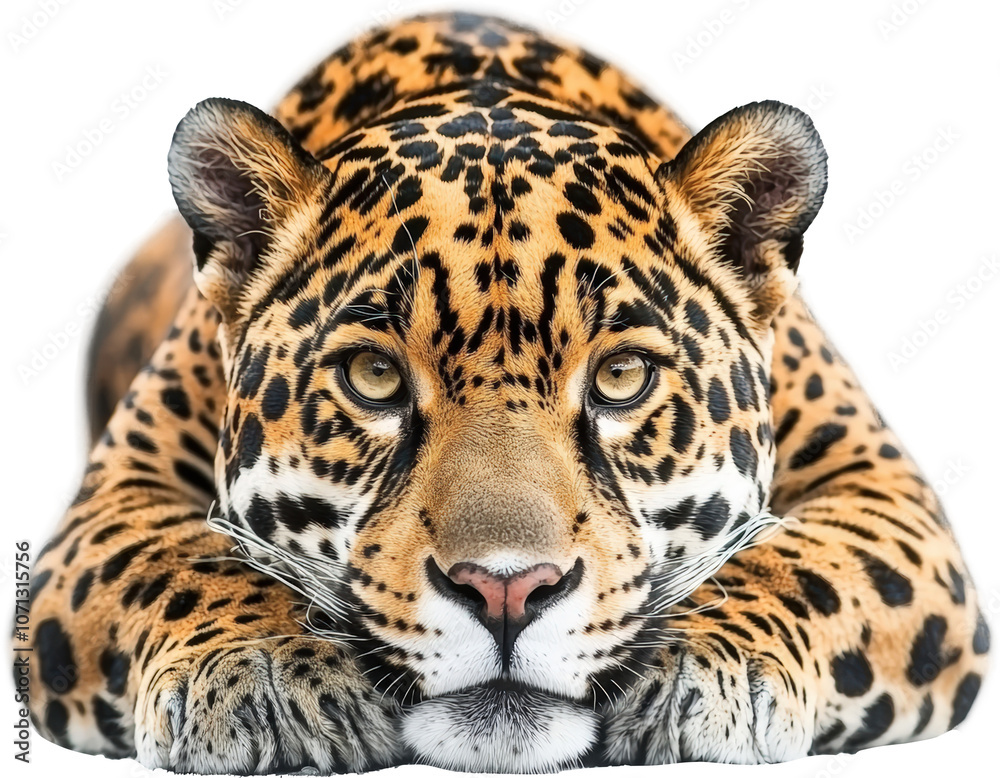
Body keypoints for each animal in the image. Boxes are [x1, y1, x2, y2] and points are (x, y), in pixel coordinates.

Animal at [24, 11, 989, 773]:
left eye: (621, 378)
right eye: (374, 377)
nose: (506, 592)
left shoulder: (879, 485)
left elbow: (804, 562)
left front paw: (702, 663)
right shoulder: (114, 496)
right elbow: (177, 559)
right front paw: (262, 669)